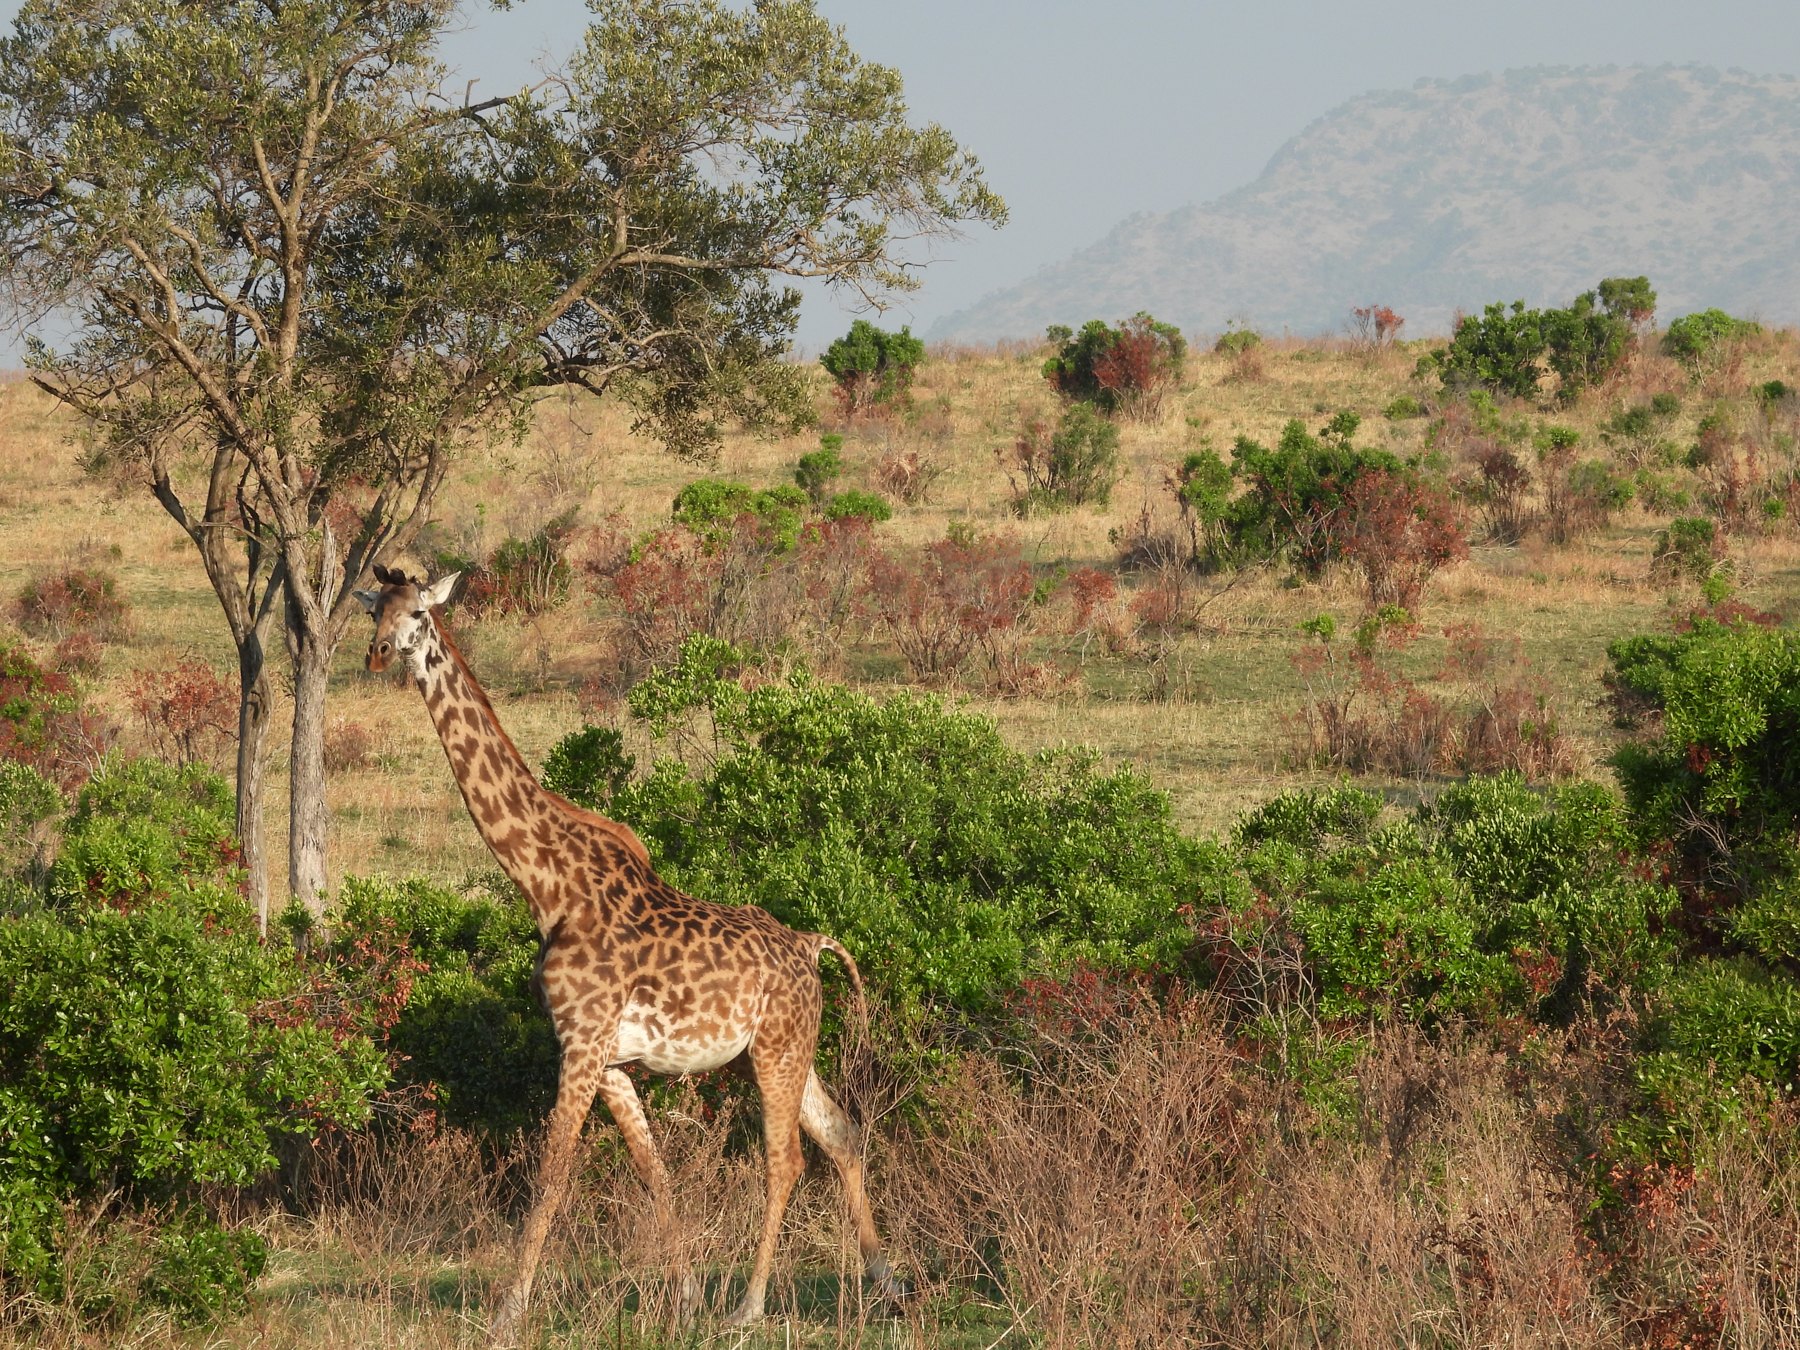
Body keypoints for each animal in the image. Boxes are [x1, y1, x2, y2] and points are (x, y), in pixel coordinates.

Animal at [353, 565, 905, 1342]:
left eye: (420, 616)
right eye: (376, 611)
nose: (378, 654)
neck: (546, 884)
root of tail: (811, 945)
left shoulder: (581, 1043)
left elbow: (551, 1176)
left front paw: (507, 1314)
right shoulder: (609, 1059)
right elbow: (654, 1171)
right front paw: (686, 1297)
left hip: (776, 1048)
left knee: (785, 1159)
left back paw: (750, 1306)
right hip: (786, 1049)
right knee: (843, 1135)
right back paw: (888, 1285)